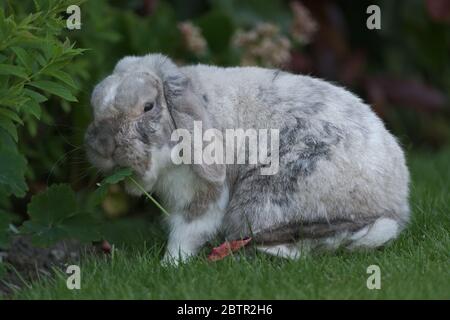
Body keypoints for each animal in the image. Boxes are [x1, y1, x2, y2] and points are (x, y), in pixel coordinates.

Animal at [84, 53, 412, 264]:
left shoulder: (203, 196)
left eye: (148, 106)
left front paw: (170, 265)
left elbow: (188, 231)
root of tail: (396, 200)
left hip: (263, 202)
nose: (103, 144)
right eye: (95, 105)